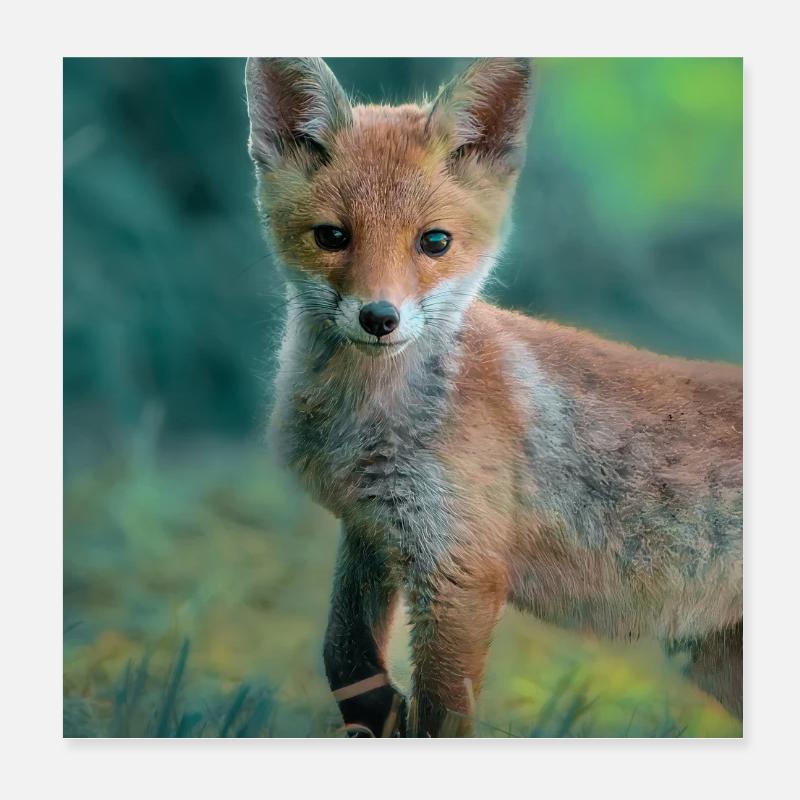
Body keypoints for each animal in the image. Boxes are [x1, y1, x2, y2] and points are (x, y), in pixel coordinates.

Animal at [244, 57, 743, 737]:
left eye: (434, 242)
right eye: (331, 237)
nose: (379, 318)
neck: (367, 423)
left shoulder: (461, 571)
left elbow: (441, 718)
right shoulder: (373, 529)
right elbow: (345, 658)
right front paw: (379, 713)